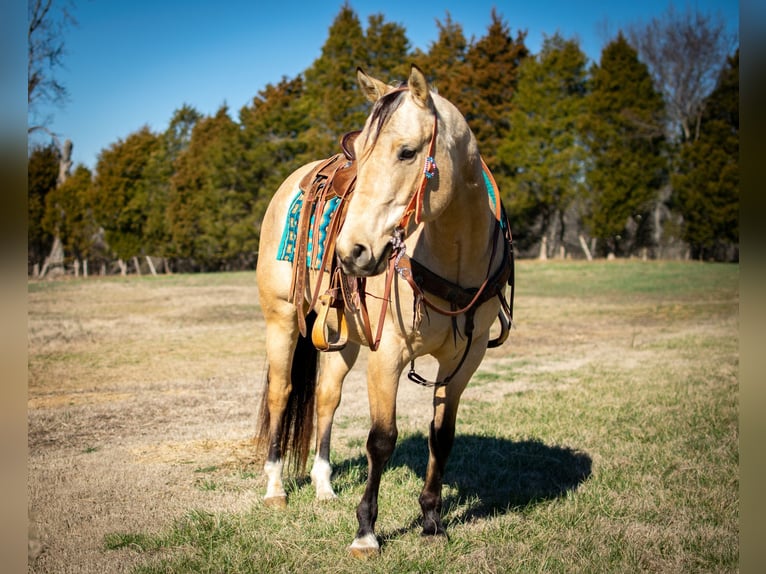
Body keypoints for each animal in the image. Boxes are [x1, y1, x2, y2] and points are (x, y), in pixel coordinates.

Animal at [256, 66, 516, 560]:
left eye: (407, 151)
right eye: (362, 154)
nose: (350, 252)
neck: (452, 253)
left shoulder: (464, 359)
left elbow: (442, 437)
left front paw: (432, 521)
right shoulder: (388, 354)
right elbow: (381, 439)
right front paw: (366, 532)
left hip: (343, 338)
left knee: (326, 397)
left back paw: (323, 485)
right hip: (281, 320)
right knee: (281, 393)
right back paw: (275, 487)